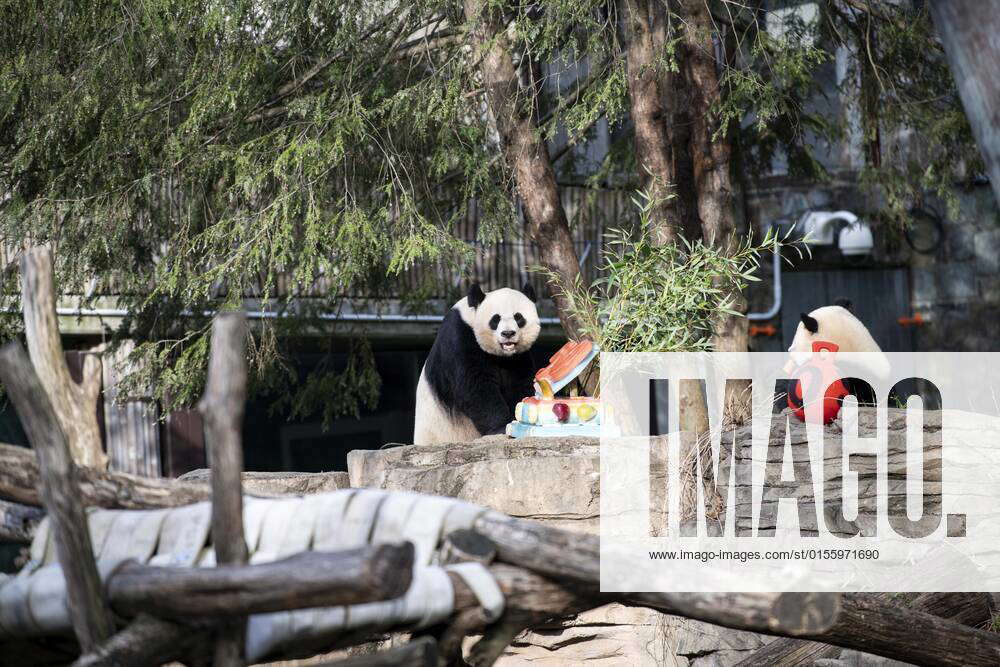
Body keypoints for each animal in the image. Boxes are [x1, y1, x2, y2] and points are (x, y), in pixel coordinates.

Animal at [412, 284, 544, 446]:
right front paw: (501, 428)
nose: (508, 333)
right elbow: (475, 386)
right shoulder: (460, 337)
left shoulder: (518, 357)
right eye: (495, 319)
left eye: (518, 317)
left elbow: (520, 382)